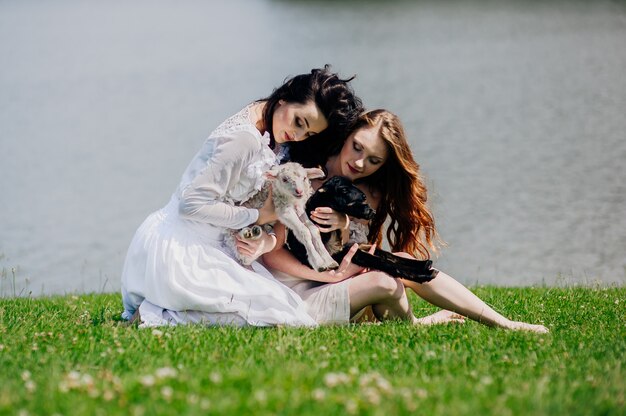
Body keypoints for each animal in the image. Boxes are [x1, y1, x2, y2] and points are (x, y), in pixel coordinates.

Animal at [284, 176, 436, 282]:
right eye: (344, 190)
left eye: (353, 184)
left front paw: (365, 210)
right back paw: (424, 274)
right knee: (382, 260)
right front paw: (364, 210)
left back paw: (424, 264)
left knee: (387, 255)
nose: (363, 196)